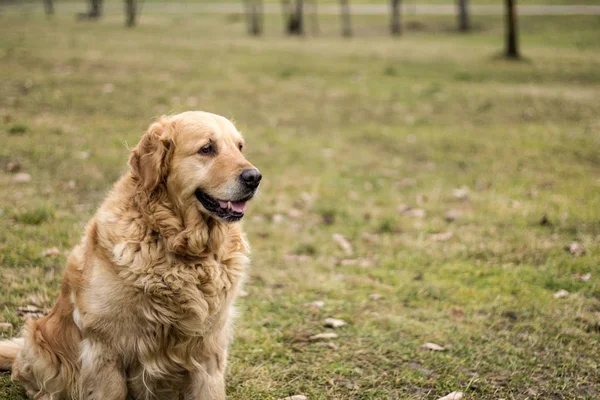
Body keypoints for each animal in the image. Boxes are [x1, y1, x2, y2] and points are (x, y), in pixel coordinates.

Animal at [0, 110, 262, 400]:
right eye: (207, 148)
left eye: (239, 147)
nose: (254, 177)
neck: (180, 247)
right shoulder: (104, 347)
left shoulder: (209, 351)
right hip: (41, 344)